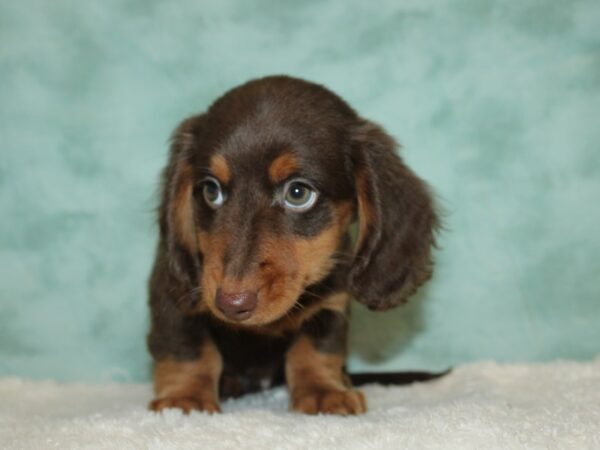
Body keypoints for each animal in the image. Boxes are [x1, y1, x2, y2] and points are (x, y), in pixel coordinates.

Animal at [148, 74, 438, 414]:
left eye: (298, 193)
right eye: (211, 191)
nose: (231, 304)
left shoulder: (332, 303)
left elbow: (315, 348)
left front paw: (324, 391)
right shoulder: (173, 293)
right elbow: (187, 345)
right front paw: (185, 397)